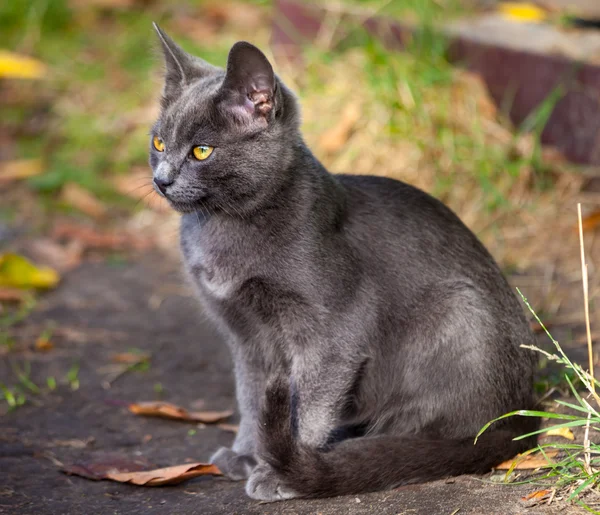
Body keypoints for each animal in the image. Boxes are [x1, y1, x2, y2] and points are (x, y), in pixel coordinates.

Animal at [149, 25, 540, 504]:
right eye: (158, 143)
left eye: (202, 151)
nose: (161, 180)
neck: (221, 228)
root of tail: (520, 423)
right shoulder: (244, 335)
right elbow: (250, 395)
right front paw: (246, 453)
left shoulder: (335, 330)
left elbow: (312, 404)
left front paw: (281, 469)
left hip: (458, 312)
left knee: (433, 431)